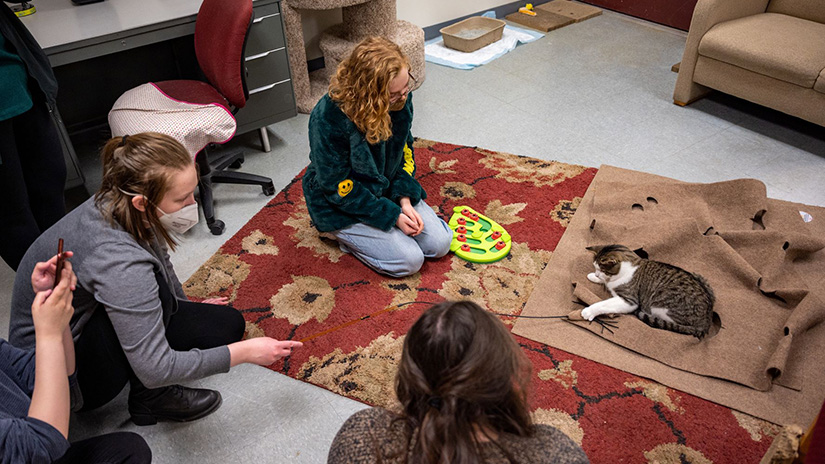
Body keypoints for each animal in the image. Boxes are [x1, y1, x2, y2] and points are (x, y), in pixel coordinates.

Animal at [580, 245, 716, 338]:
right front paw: (593, 277)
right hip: (701, 279)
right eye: (596, 268)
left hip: (660, 306)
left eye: (602, 269)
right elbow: (606, 283)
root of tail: (707, 320)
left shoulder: (629, 301)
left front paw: (589, 311)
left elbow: (603, 304)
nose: (597, 274)